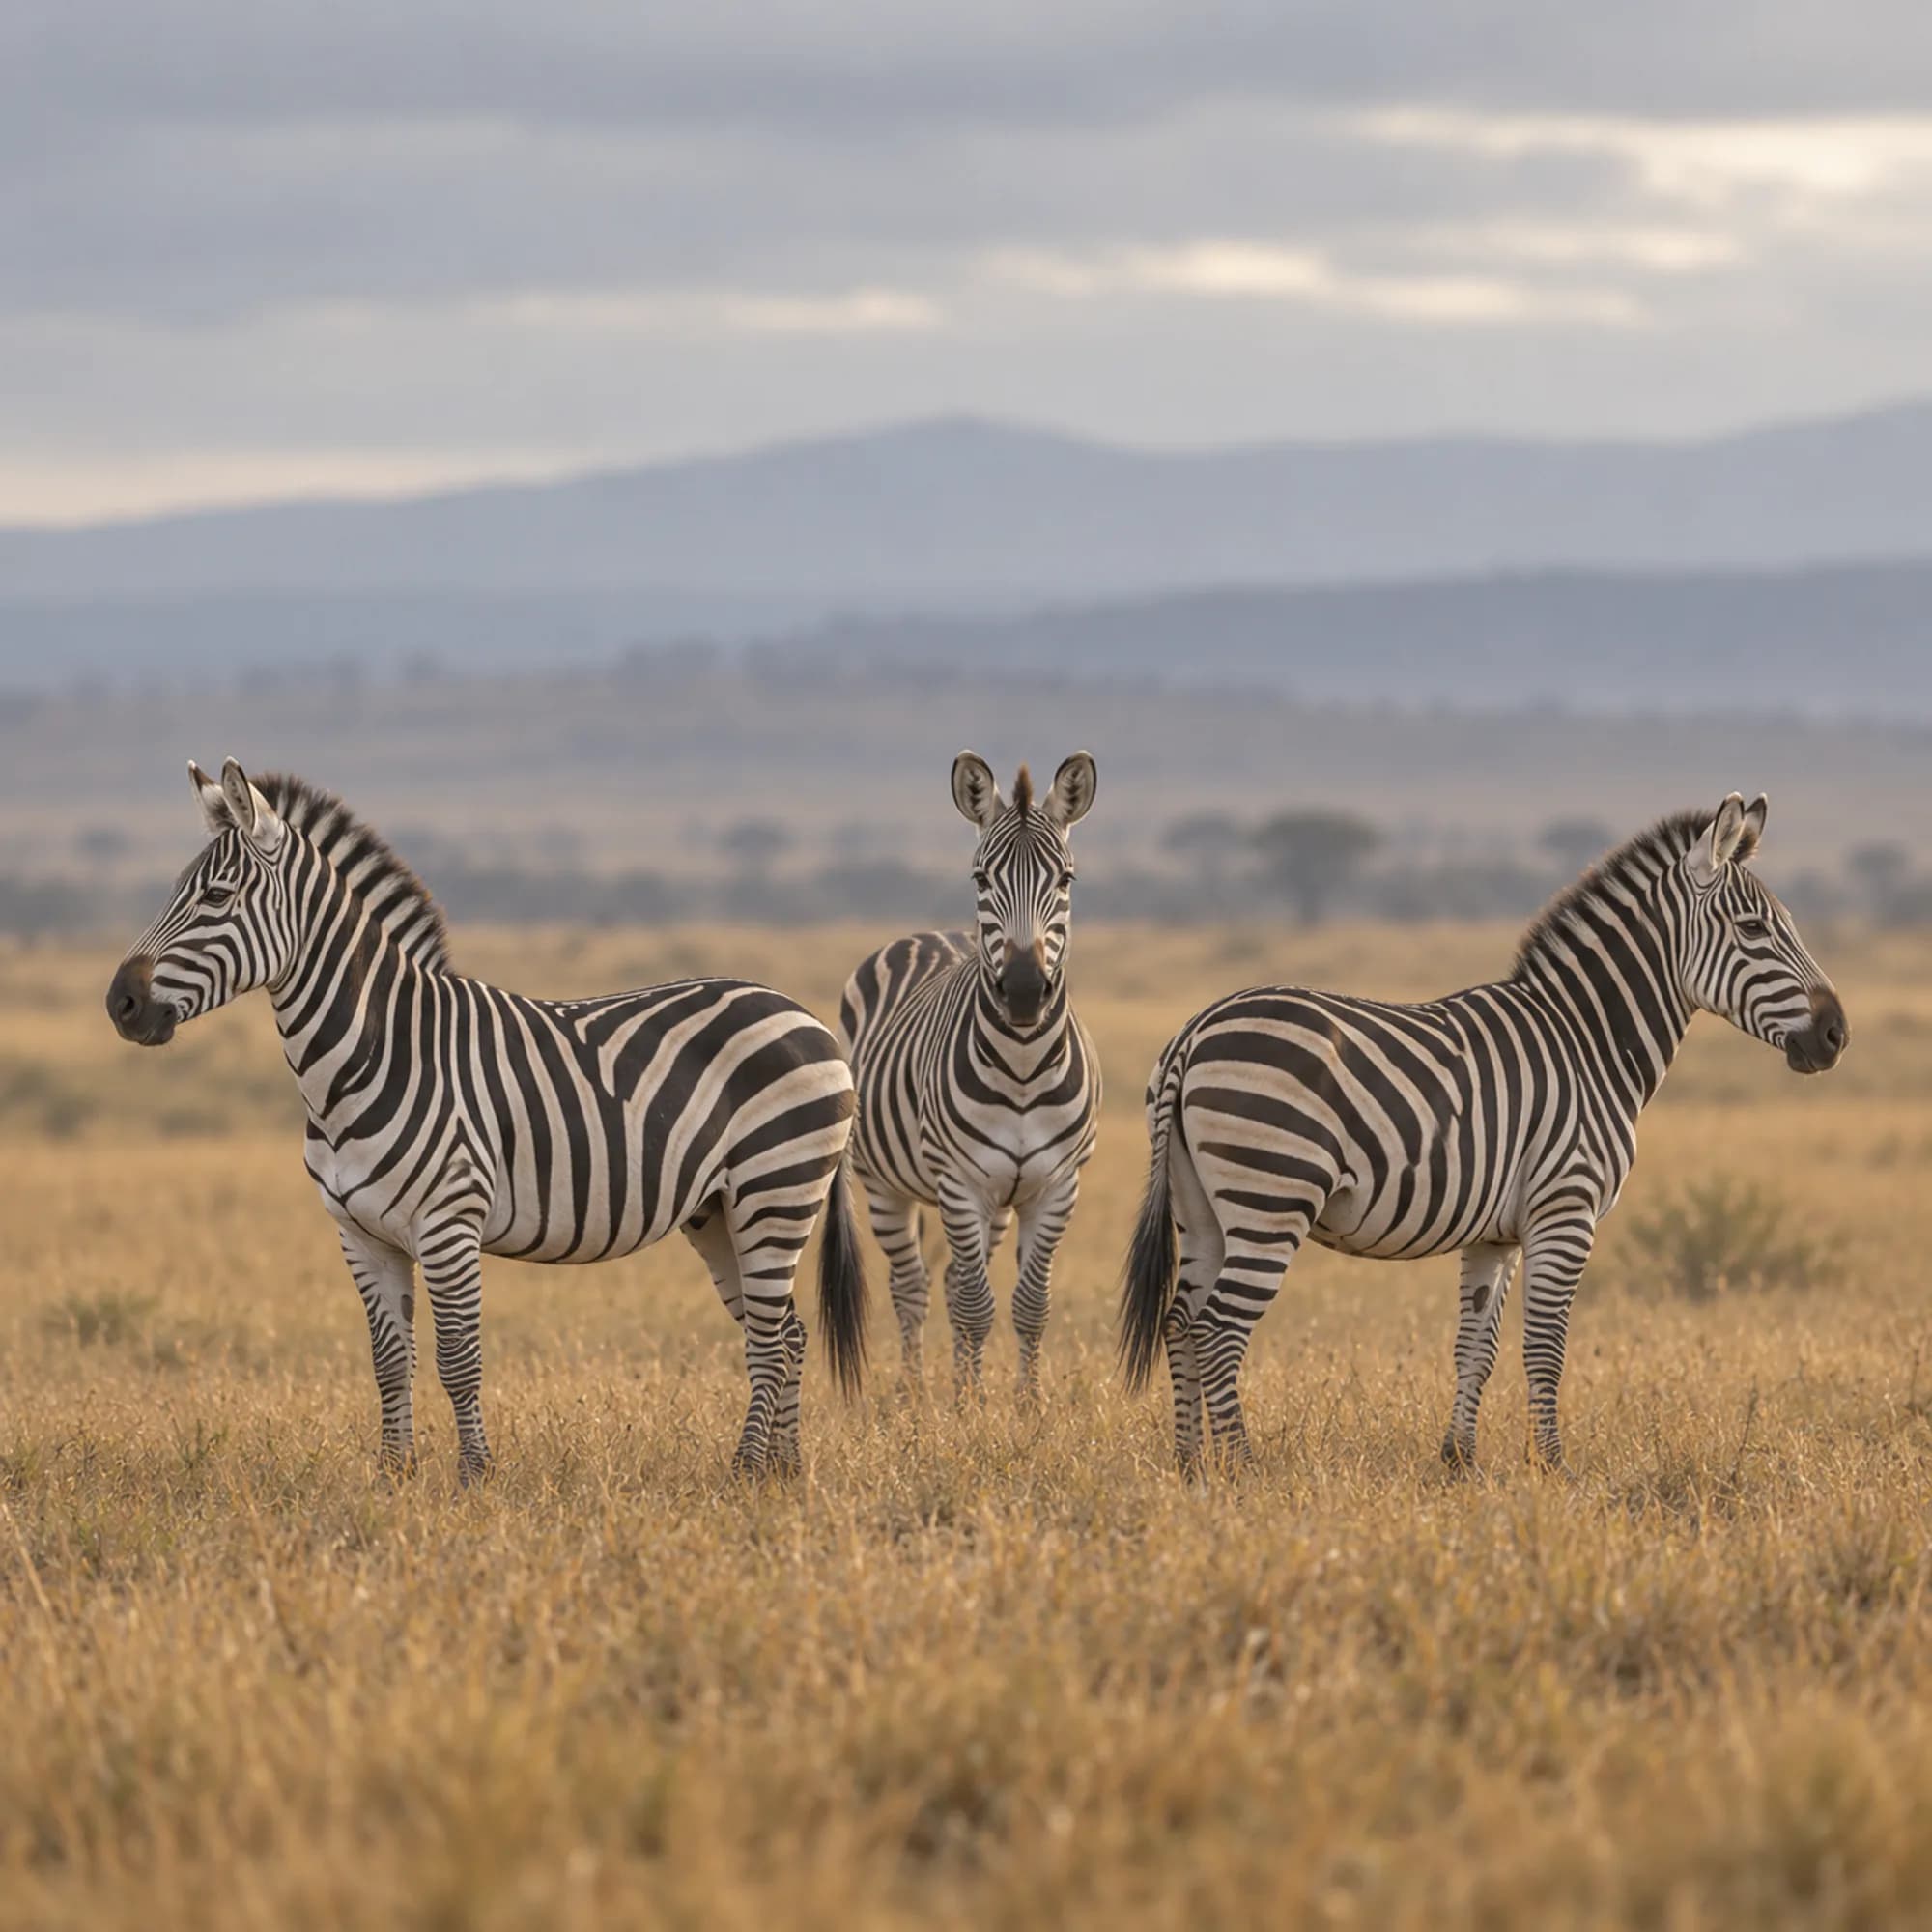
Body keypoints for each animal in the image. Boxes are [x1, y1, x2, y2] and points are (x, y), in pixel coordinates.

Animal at [106, 760, 867, 1479]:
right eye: (177, 891)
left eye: (216, 897)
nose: (121, 1003)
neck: (371, 1054)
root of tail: (800, 1011)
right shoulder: (359, 1234)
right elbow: (389, 1360)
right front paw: (394, 1477)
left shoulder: (449, 1222)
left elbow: (457, 1357)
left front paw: (474, 1476)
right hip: (719, 1212)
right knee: (787, 1334)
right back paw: (782, 1471)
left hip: (777, 1189)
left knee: (771, 1341)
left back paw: (745, 1471)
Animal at [838, 751, 1101, 1397]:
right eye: (981, 880)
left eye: (1066, 880)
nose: (1026, 992)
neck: (1024, 1068)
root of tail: (929, 935)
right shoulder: (959, 1182)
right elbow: (977, 1306)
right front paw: (974, 1408)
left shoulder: (1056, 1187)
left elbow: (1029, 1304)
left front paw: (1025, 1404)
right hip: (885, 1185)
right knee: (912, 1288)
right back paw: (913, 1393)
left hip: (997, 1203)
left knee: (955, 1282)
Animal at [1120, 793, 1848, 1475]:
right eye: (1753, 929)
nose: (1836, 1035)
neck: (1588, 1041)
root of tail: (1193, 1032)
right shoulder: (1565, 1210)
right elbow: (1545, 1347)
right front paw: (1553, 1467)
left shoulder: (1495, 1235)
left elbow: (1478, 1346)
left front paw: (1459, 1460)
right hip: (1271, 1196)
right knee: (1219, 1330)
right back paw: (1242, 1467)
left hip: (1203, 1208)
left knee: (1181, 1322)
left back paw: (1191, 1466)